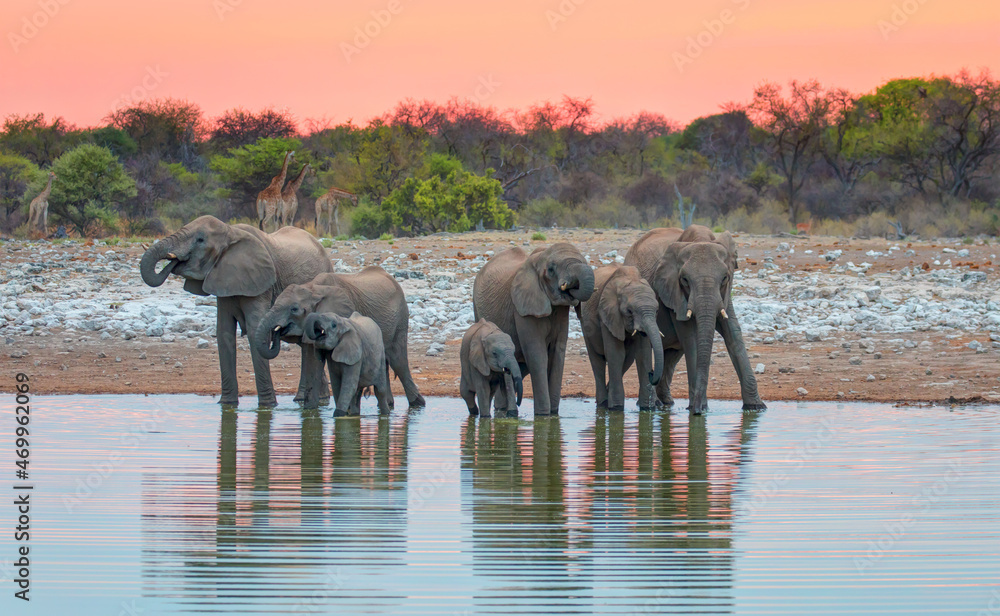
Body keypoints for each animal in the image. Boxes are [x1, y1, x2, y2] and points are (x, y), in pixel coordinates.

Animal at [140, 215, 333, 407]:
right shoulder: (224, 280)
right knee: (305, 343)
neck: (231, 232)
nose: (173, 263)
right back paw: (314, 399)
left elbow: (255, 332)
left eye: (200, 240)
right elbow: (224, 333)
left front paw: (267, 406)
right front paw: (226, 405)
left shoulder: (260, 283)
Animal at [253, 266, 425, 409]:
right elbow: (313, 362)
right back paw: (389, 404)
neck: (313, 288)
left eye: (294, 309)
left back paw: (418, 404)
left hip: (401, 318)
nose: (277, 331)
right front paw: (309, 411)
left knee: (398, 359)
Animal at [473, 243, 595, 416]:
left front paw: (554, 414)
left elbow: (557, 354)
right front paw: (543, 415)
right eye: (551, 269)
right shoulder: (523, 309)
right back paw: (503, 410)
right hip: (476, 307)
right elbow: (537, 355)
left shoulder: (561, 312)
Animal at [578, 264, 664, 412]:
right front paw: (616, 409)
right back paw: (603, 403)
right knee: (597, 360)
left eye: (657, 310)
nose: (651, 374)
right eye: (629, 311)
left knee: (628, 359)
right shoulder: (607, 315)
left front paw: (647, 408)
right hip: (585, 325)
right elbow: (616, 354)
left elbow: (643, 354)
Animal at [624, 225, 765, 414]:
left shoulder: (724, 294)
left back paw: (667, 402)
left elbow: (733, 333)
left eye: (725, 278)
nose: (698, 410)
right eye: (685, 280)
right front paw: (697, 409)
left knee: (672, 354)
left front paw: (757, 407)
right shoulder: (674, 293)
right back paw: (655, 404)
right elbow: (691, 338)